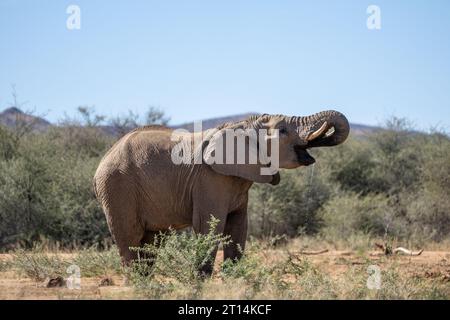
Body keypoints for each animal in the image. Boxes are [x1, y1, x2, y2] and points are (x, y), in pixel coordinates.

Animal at [93, 110, 350, 276]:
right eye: (283, 130)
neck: (242, 125)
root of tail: (102, 160)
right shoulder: (209, 179)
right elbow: (209, 225)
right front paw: (200, 280)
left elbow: (238, 227)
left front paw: (232, 277)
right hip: (118, 187)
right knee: (130, 238)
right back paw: (138, 283)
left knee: (150, 242)